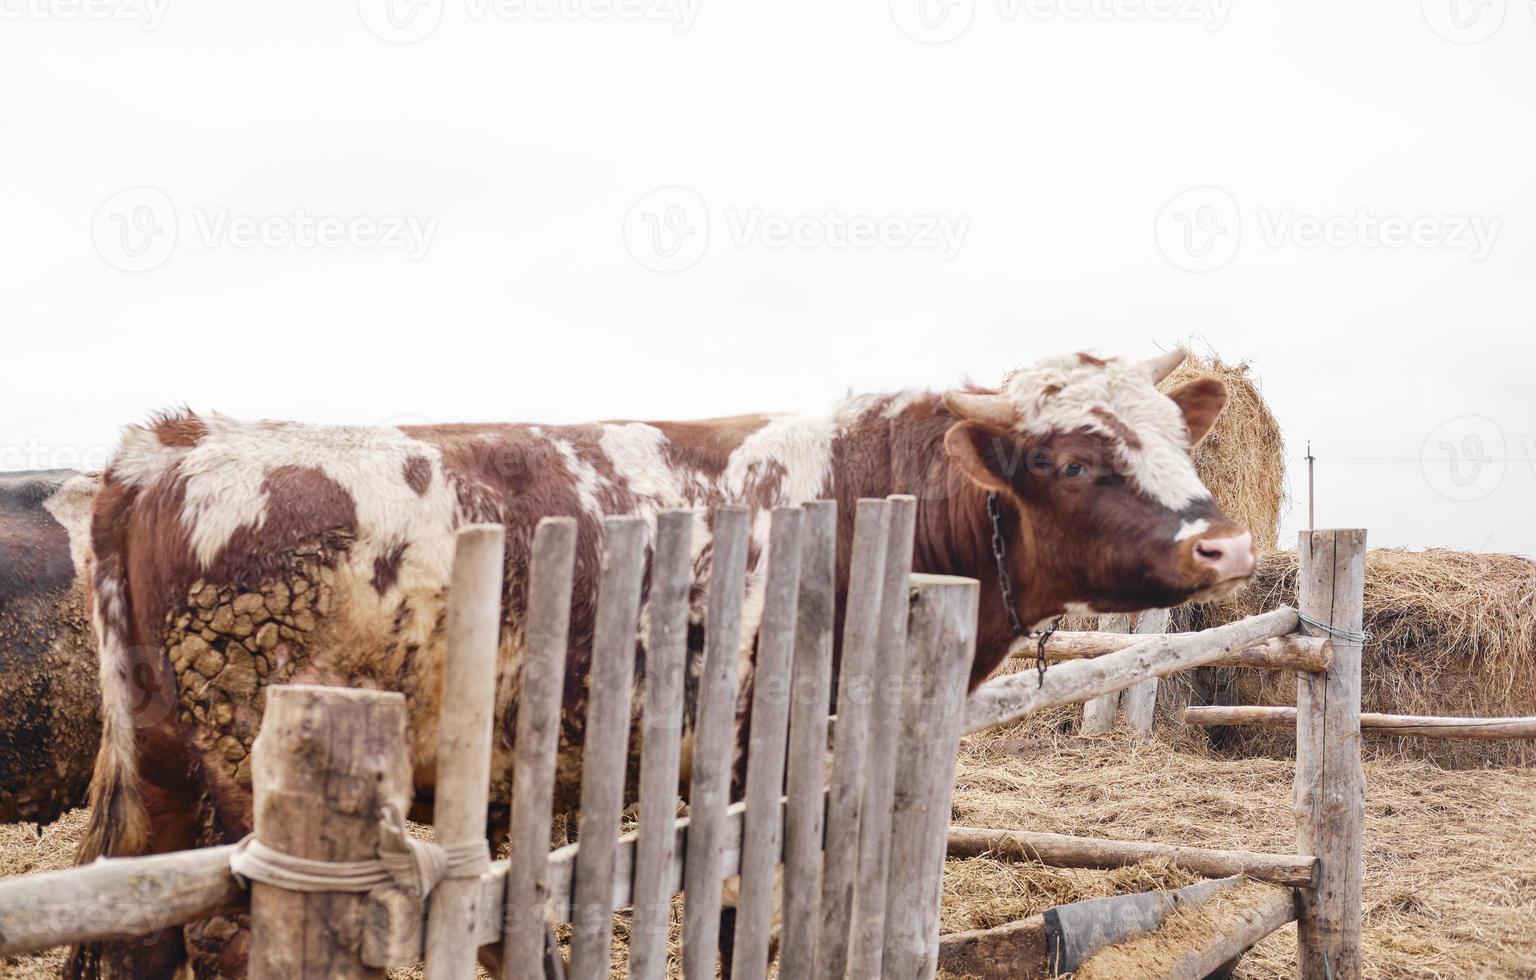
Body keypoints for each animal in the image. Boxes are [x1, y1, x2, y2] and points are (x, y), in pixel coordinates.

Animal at [69, 350, 1247, 976]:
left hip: (165, 772)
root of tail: (180, 443)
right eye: (1073, 459)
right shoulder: (765, 761)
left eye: (1180, 443)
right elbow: (738, 920)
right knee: (218, 938)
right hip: (247, 778)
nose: (1225, 545)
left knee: (140, 937)